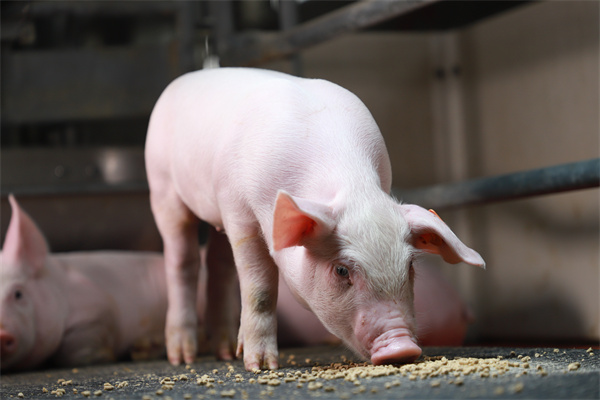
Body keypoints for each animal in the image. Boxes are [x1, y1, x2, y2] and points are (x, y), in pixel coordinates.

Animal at [146, 67, 488, 370]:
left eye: (411, 267)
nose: (402, 347)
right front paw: (261, 367)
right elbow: (260, 289)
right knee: (183, 262)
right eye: (341, 270)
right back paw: (184, 358)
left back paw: (226, 353)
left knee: (220, 267)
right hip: (162, 187)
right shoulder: (238, 210)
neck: (351, 183)